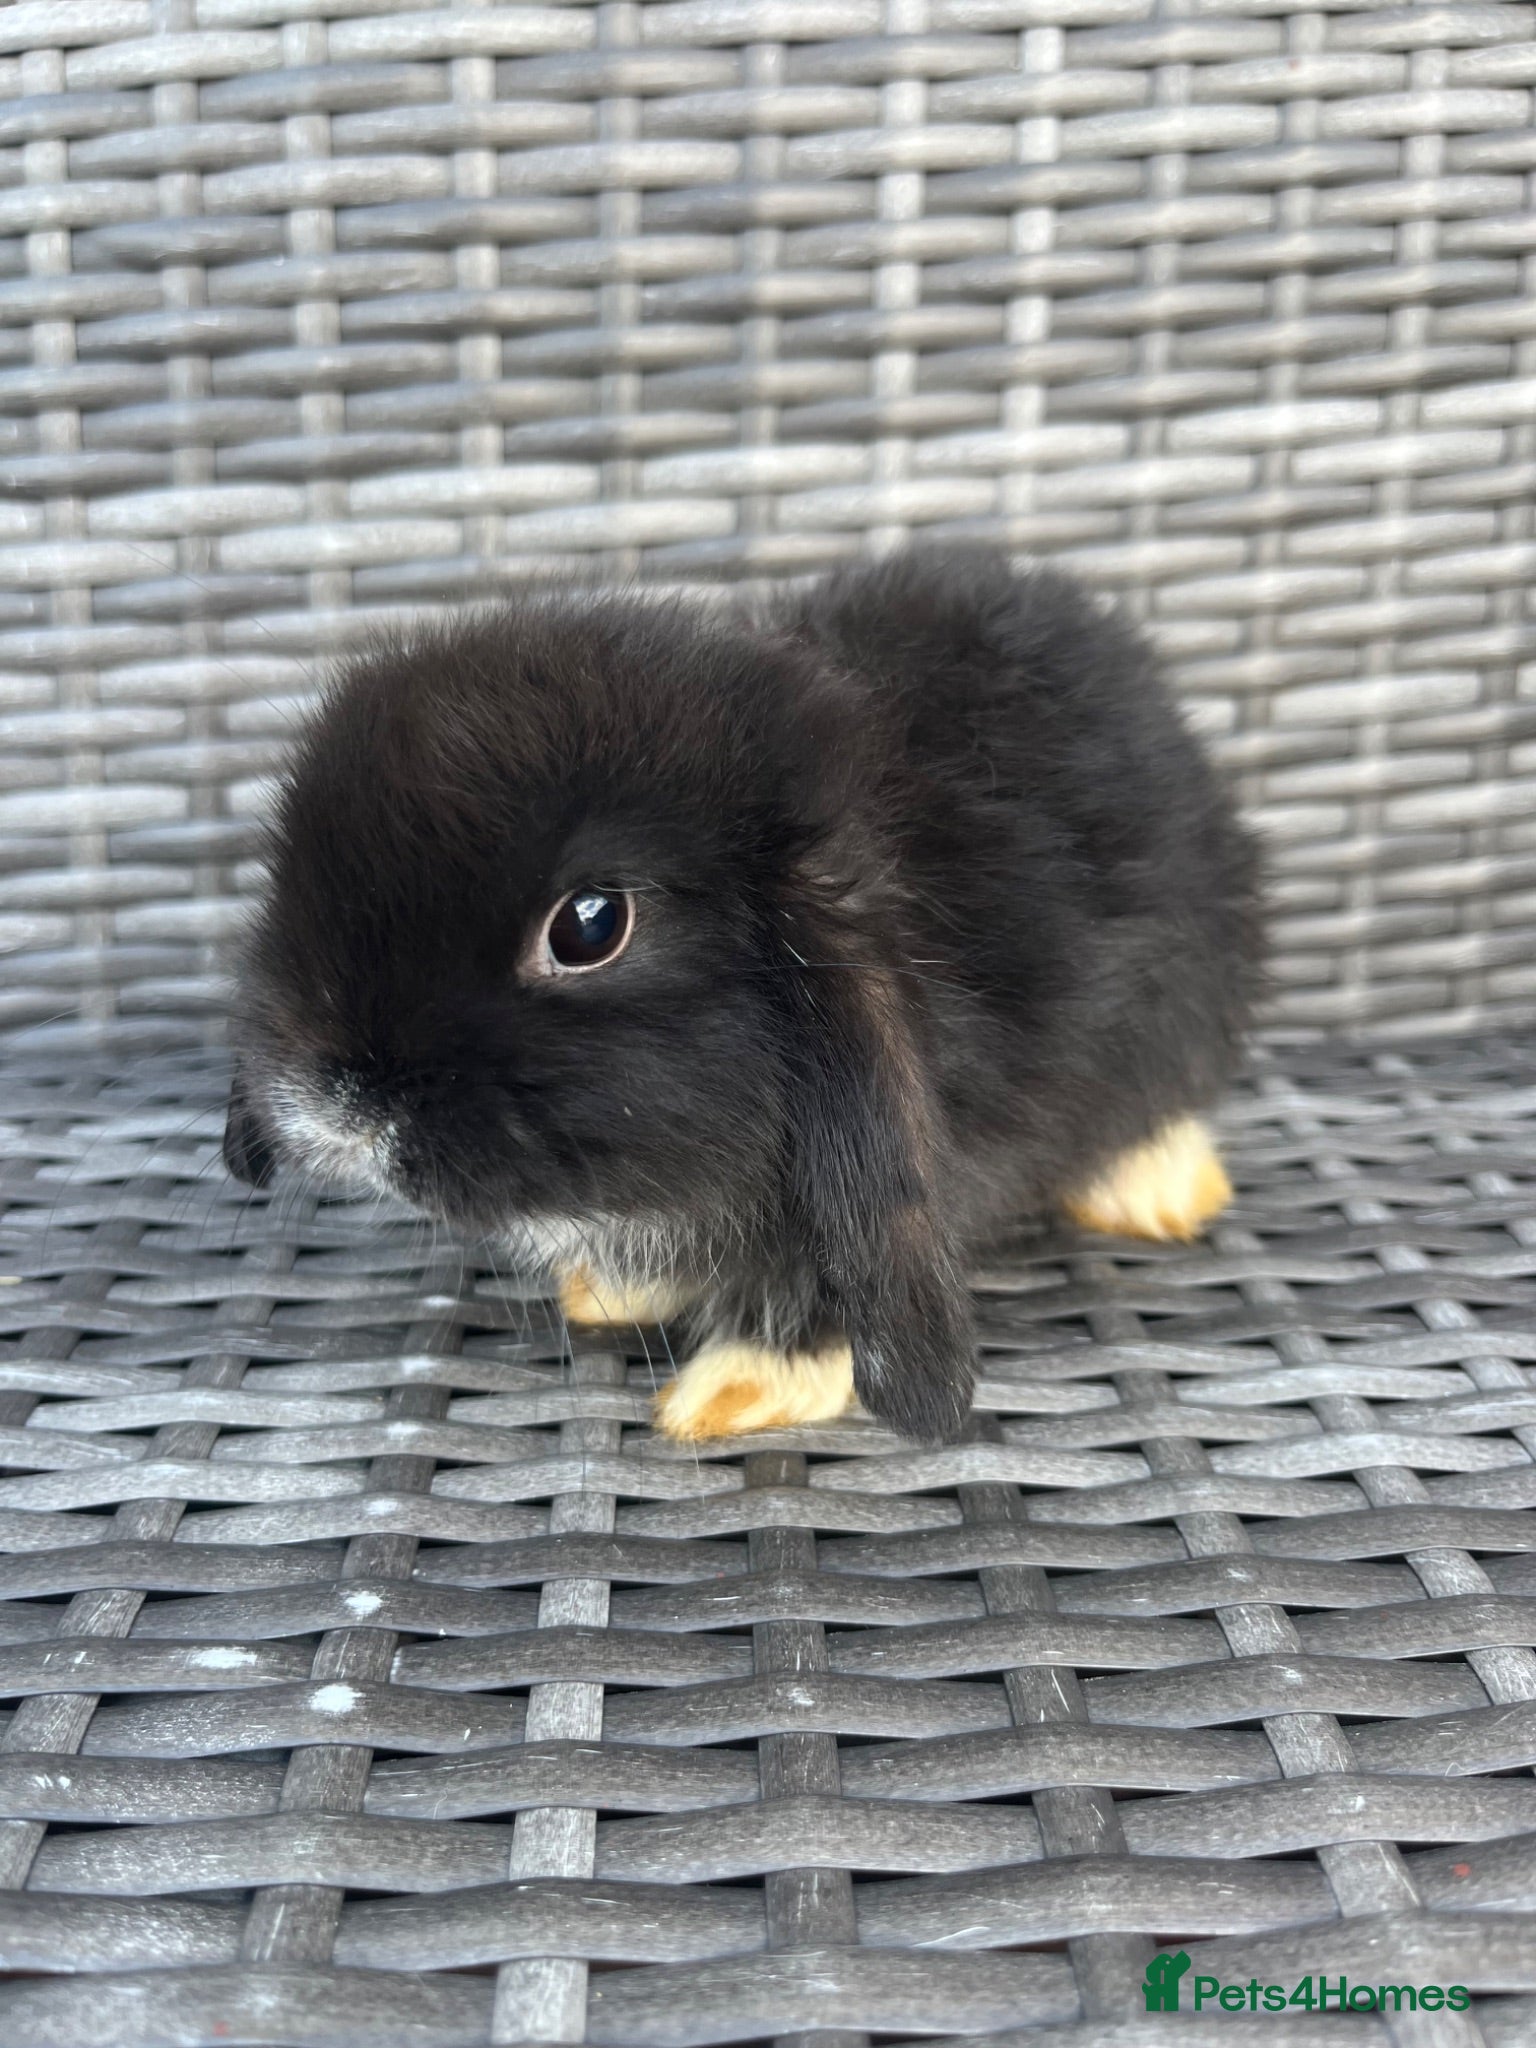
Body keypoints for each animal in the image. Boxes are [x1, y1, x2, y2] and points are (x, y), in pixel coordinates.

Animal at [223, 546, 1265, 1445]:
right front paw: (610, 1290)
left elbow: (827, 1286)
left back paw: (1160, 1193)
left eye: (590, 926)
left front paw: (736, 1389)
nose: (334, 1107)